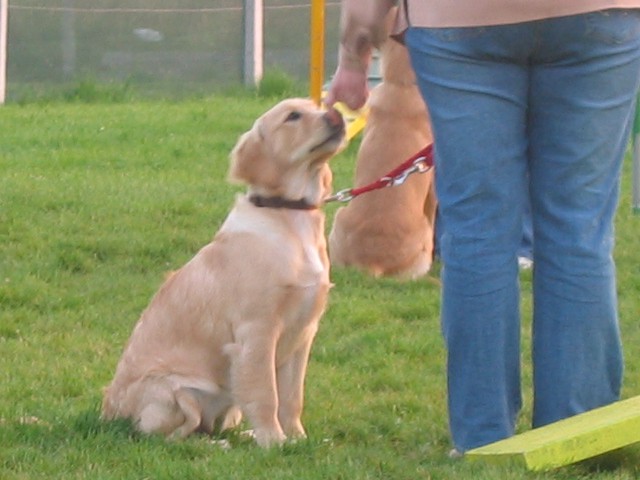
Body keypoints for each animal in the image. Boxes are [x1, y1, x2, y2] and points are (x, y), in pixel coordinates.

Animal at [101, 99, 344, 448]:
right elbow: (266, 394)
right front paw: (274, 442)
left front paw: (298, 438)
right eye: (293, 116)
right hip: (175, 392)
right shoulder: (256, 331)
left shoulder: (304, 332)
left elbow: (292, 397)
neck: (288, 216)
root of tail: (107, 413)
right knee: (167, 436)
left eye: (319, 105)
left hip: (226, 406)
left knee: (210, 424)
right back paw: (218, 445)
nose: (337, 115)